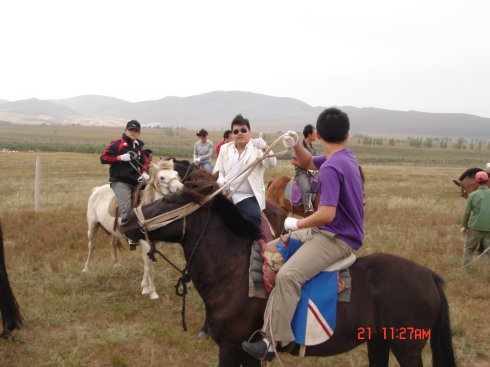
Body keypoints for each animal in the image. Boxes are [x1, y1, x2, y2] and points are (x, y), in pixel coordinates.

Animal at [83, 160, 183, 300]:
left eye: (176, 173)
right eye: (162, 177)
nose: (181, 190)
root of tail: (96, 190)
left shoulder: (156, 243)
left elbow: (147, 264)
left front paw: (145, 288)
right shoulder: (145, 243)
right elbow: (149, 267)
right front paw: (153, 293)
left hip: (113, 231)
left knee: (113, 244)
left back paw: (116, 264)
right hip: (93, 226)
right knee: (91, 246)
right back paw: (86, 269)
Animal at [121, 172, 456, 367]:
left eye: (169, 201)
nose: (126, 220)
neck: (234, 272)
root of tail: (429, 276)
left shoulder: (231, 347)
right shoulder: (245, 352)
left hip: (407, 348)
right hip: (379, 342)